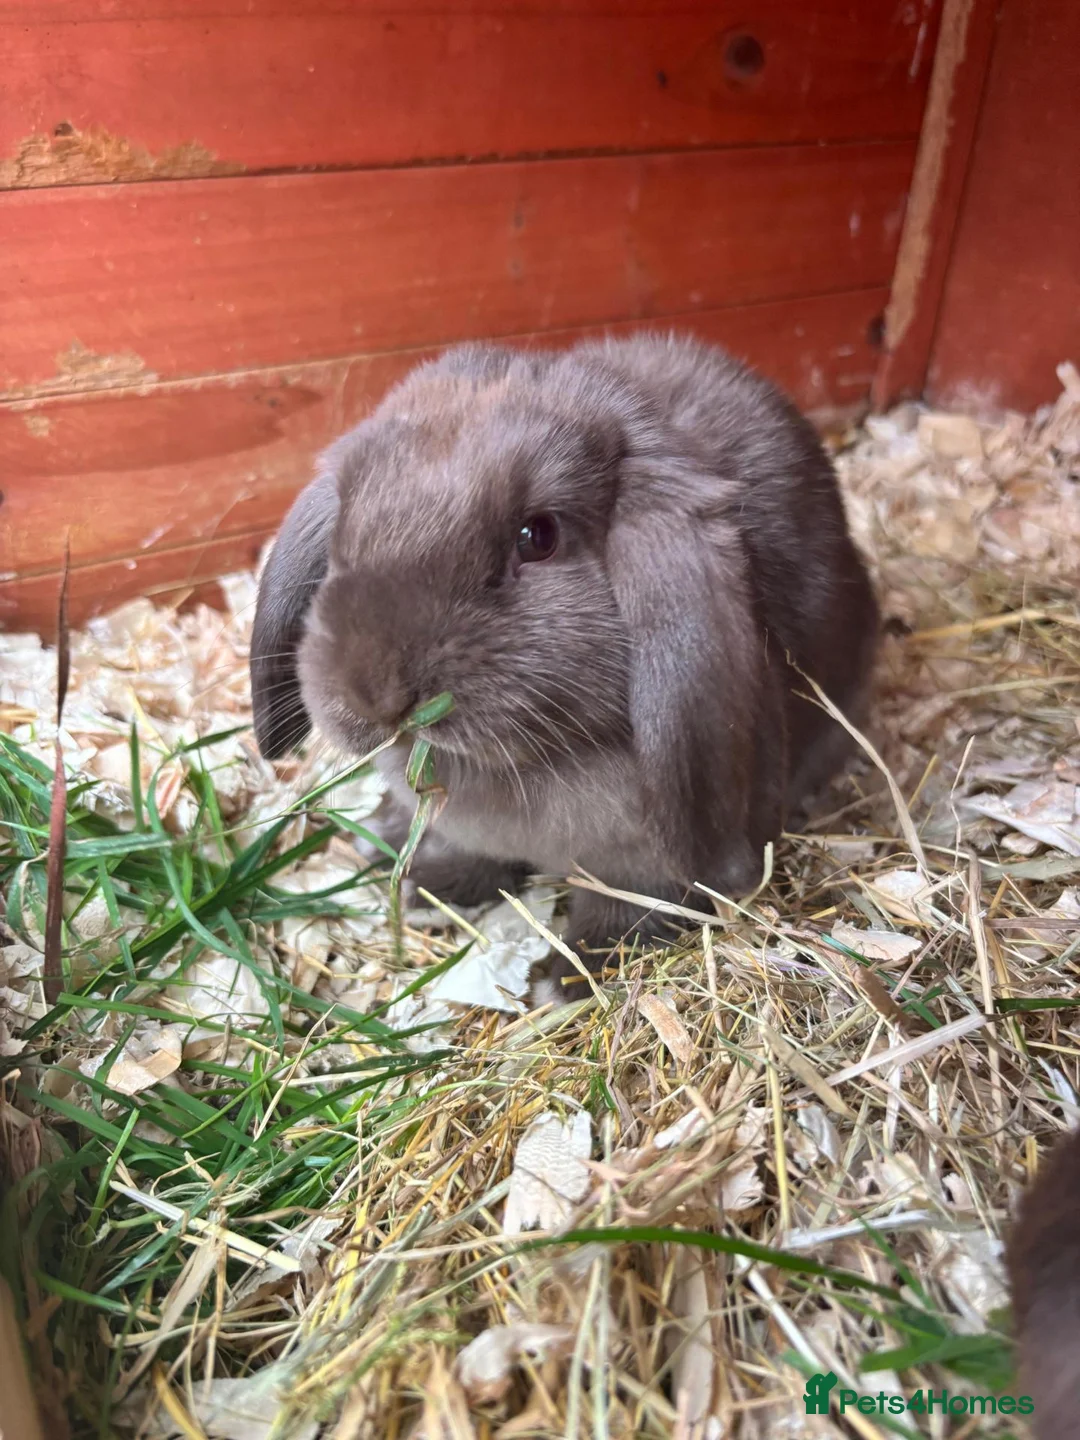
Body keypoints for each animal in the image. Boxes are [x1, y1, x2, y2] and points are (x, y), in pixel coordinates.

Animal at [251, 332, 879, 997]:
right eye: (344, 536)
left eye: (539, 536)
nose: (373, 694)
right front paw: (431, 886)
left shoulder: (641, 871)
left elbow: (629, 912)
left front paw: (569, 977)